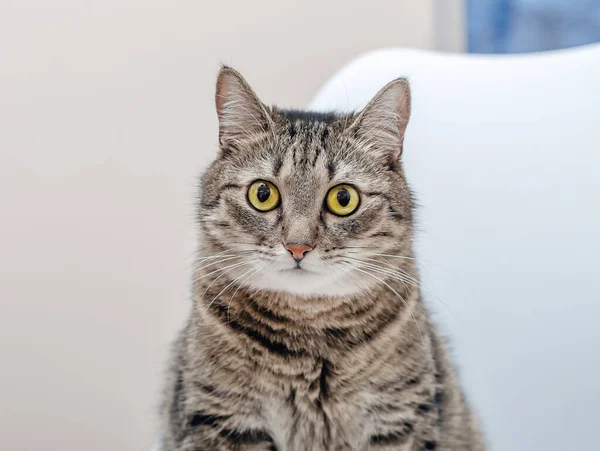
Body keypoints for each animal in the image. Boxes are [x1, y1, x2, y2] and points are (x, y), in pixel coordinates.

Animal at [161, 67, 488, 451]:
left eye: (343, 198)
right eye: (262, 194)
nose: (298, 247)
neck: (309, 334)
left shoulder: (398, 417)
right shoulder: (223, 417)